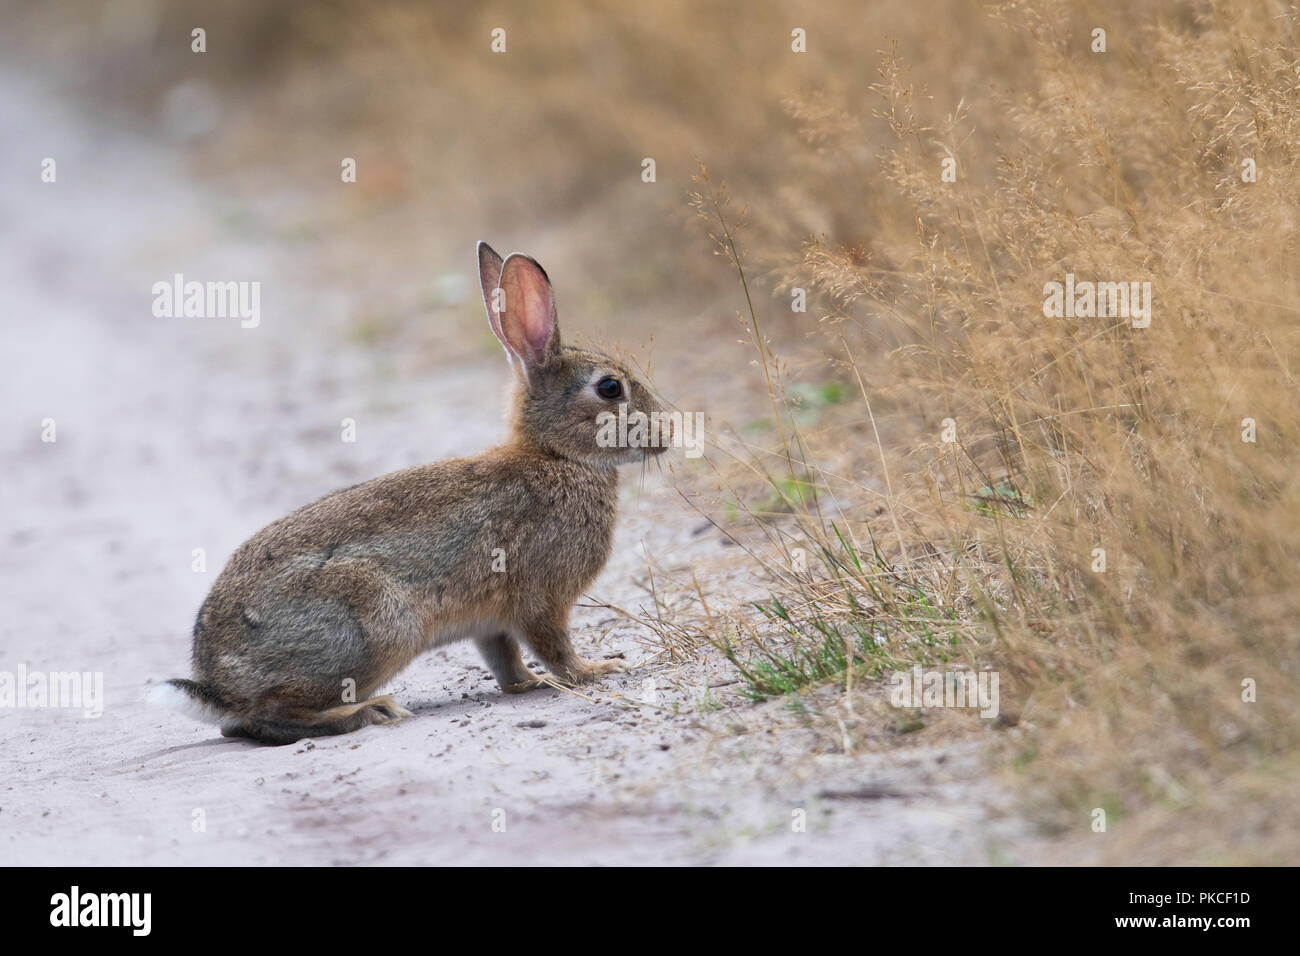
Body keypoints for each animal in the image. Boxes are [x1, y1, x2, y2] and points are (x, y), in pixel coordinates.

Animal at [152, 243, 670, 743]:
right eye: (610, 388)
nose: (665, 434)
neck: (557, 456)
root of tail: (220, 684)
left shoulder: (493, 622)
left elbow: (505, 658)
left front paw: (529, 683)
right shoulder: (542, 596)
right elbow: (554, 646)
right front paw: (597, 669)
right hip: (376, 629)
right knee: (268, 717)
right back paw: (369, 711)